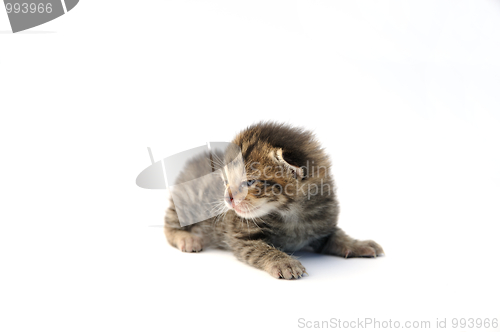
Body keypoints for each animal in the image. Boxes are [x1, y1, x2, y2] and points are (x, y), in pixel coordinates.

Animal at [164, 121, 382, 278]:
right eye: (225, 181)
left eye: (249, 182)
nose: (228, 198)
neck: (292, 213)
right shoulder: (241, 236)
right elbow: (261, 249)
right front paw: (284, 261)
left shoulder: (323, 223)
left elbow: (338, 236)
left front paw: (358, 243)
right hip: (187, 201)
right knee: (170, 224)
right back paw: (187, 238)